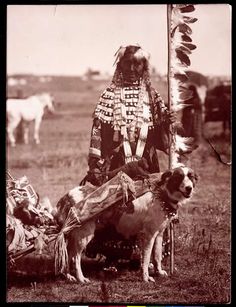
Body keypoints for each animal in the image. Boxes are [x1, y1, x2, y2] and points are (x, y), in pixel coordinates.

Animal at [54, 166, 197, 284]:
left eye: (190, 176)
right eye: (179, 176)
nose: (189, 188)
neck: (161, 194)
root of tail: (67, 196)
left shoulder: (159, 234)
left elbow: (157, 256)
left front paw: (159, 272)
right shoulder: (148, 235)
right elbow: (146, 259)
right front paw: (145, 277)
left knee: (67, 253)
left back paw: (68, 276)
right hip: (84, 235)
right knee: (75, 257)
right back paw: (80, 278)